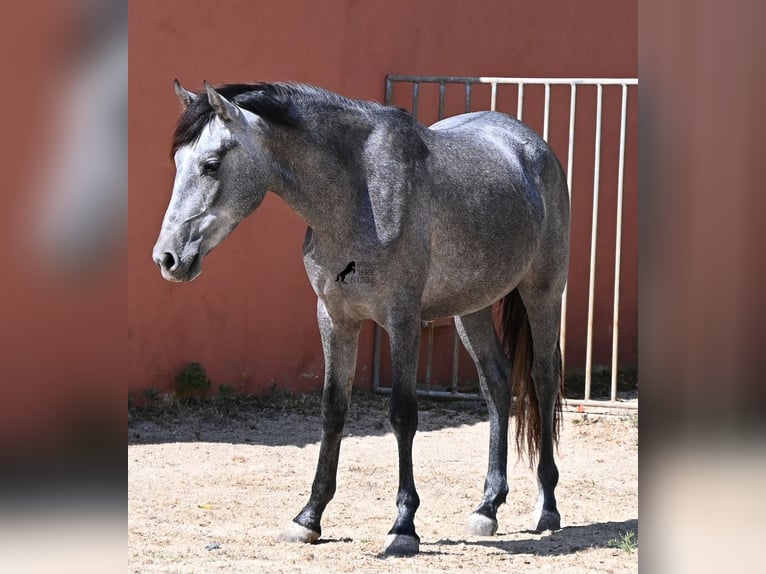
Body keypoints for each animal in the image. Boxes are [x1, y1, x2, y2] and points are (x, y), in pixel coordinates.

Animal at [153, 80, 570, 555]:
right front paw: (308, 517)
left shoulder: (402, 319)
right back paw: (487, 507)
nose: (167, 258)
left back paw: (547, 506)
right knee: (496, 384)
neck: (360, 194)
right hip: (472, 307)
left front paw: (404, 525)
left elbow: (403, 414)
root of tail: (532, 146)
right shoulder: (335, 318)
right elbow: (333, 410)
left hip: (543, 293)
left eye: (211, 164)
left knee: (542, 381)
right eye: (177, 162)